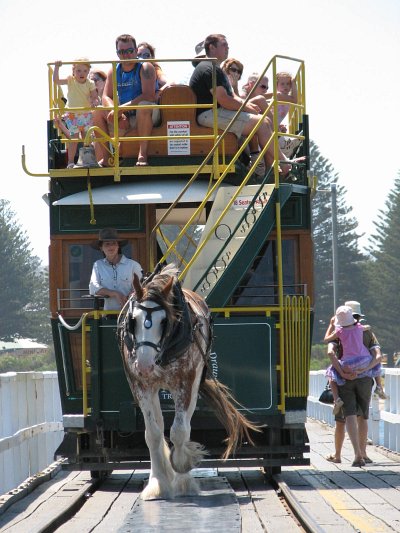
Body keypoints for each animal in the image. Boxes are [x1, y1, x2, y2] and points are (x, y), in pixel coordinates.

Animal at [117, 264, 260, 500]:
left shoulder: (185, 382)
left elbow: (180, 431)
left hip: (194, 382)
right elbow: (153, 433)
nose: (145, 364)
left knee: (185, 425)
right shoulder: (141, 385)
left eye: (163, 321)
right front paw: (158, 484)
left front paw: (183, 472)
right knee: (159, 424)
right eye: (133, 320)